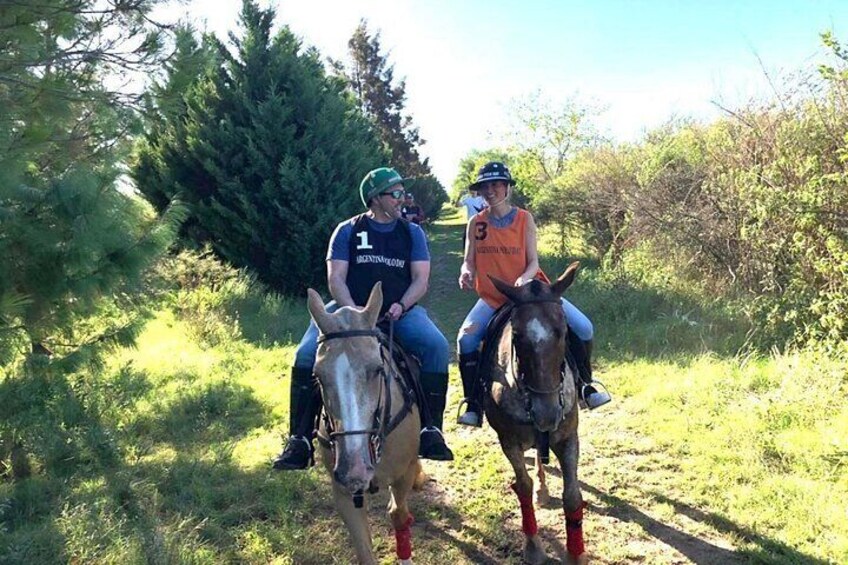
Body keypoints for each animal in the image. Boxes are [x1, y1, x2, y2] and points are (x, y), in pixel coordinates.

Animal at [304, 282, 424, 564]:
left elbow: (399, 515)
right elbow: (364, 549)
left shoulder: (403, 474)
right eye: (317, 376)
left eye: (378, 369)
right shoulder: (344, 493)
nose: (355, 469)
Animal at [484, 264, 588, 564]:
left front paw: (575, 554)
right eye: (517, 336)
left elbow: (572, 496)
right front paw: (533, 548)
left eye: (564, 331)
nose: (546, 414)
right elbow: (523, 486)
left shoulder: (568, 437)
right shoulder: (509, 442)